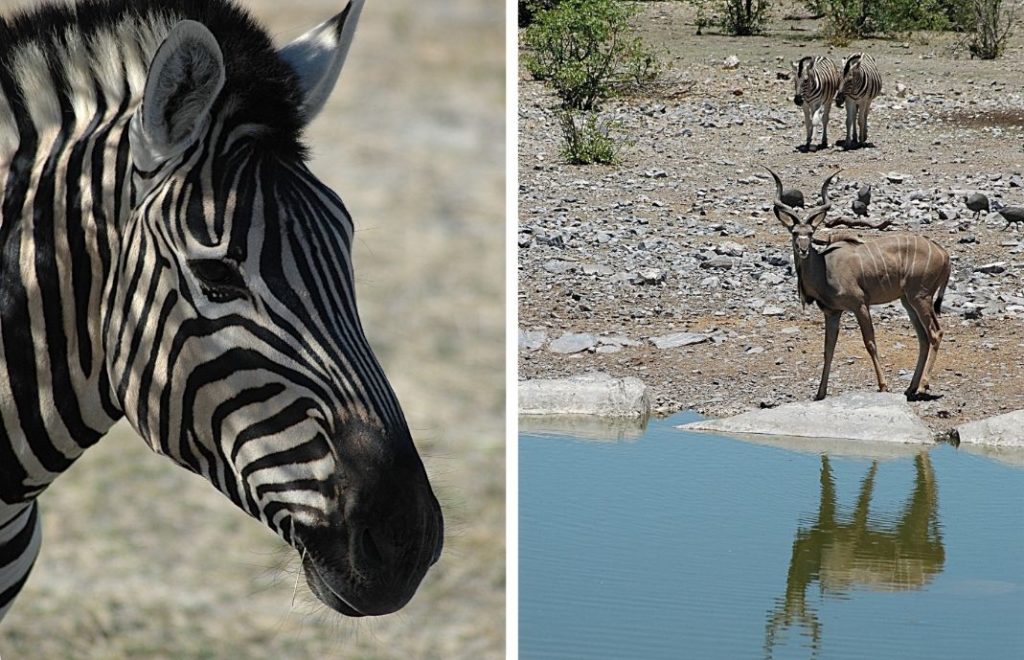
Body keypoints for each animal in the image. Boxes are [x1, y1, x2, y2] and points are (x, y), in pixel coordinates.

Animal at [765, 167, 954, 399]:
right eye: (794, 233)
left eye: (810, 233)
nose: (803, 249)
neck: (825, 267)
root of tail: (944, 254)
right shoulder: (832, 312)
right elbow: (828, 349)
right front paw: (820, 393)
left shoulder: (860, 305)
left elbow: (870, 342)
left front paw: (883, 385)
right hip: (908, 301)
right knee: (923, 338)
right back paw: (911, 387)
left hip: (921, 296)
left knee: (935, 333)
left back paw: (923, 385)